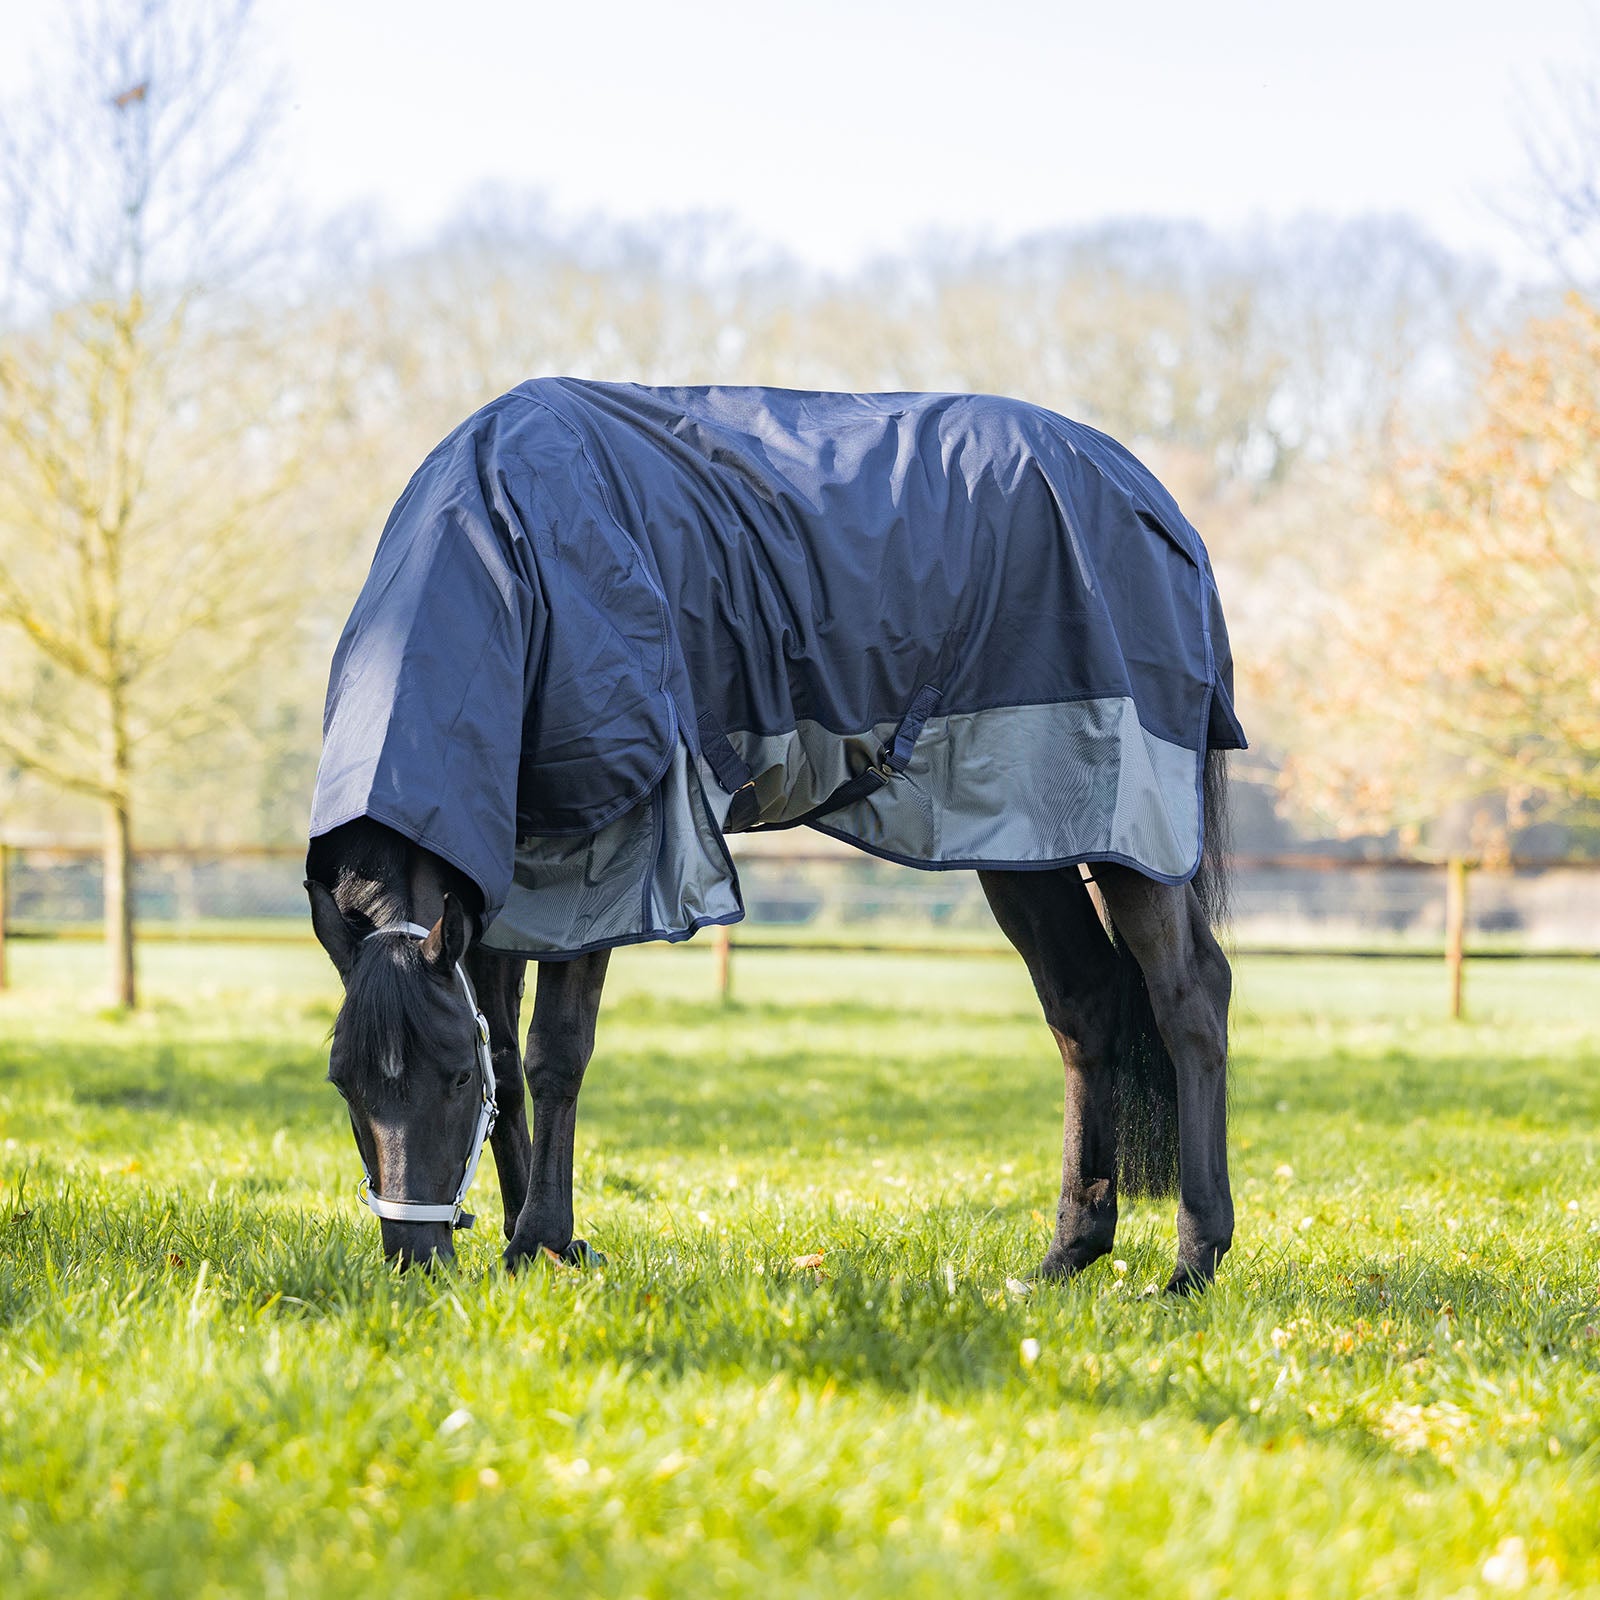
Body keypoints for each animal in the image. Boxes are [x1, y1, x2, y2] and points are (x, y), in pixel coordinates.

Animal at [305, 381, 1242, 1292]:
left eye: (453, 1076)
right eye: (344, 1081)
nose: (415, 1261)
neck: (512, 551)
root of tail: (1150, 497)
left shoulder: (609, 857)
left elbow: (552, 1056)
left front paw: (542, 1241)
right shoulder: (504, 877)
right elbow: (509, 1047)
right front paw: (526, 1240)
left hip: (1133, 824)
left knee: (1190, 995)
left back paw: (1192, 1261)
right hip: (1027, 839)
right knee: (1084, 1006)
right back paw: (1067, 1255)